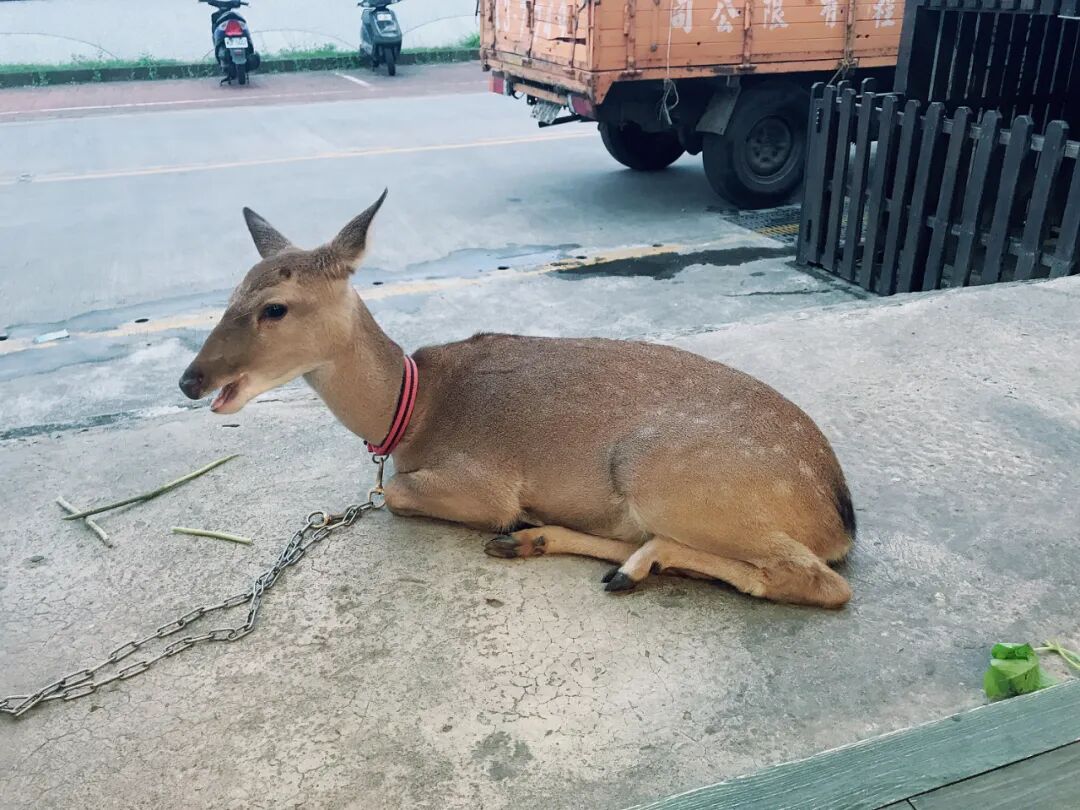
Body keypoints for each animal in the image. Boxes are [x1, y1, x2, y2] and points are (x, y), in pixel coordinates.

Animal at [178, 190, 856, 607]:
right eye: (231, 292)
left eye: (274, 307)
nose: (191, 380)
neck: (413, 411)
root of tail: (838, 515)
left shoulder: (483, 481)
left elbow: (395, 494)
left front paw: (508, 519)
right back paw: (554, 544)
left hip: (669, 476)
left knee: (817, 582)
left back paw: (629, 561)